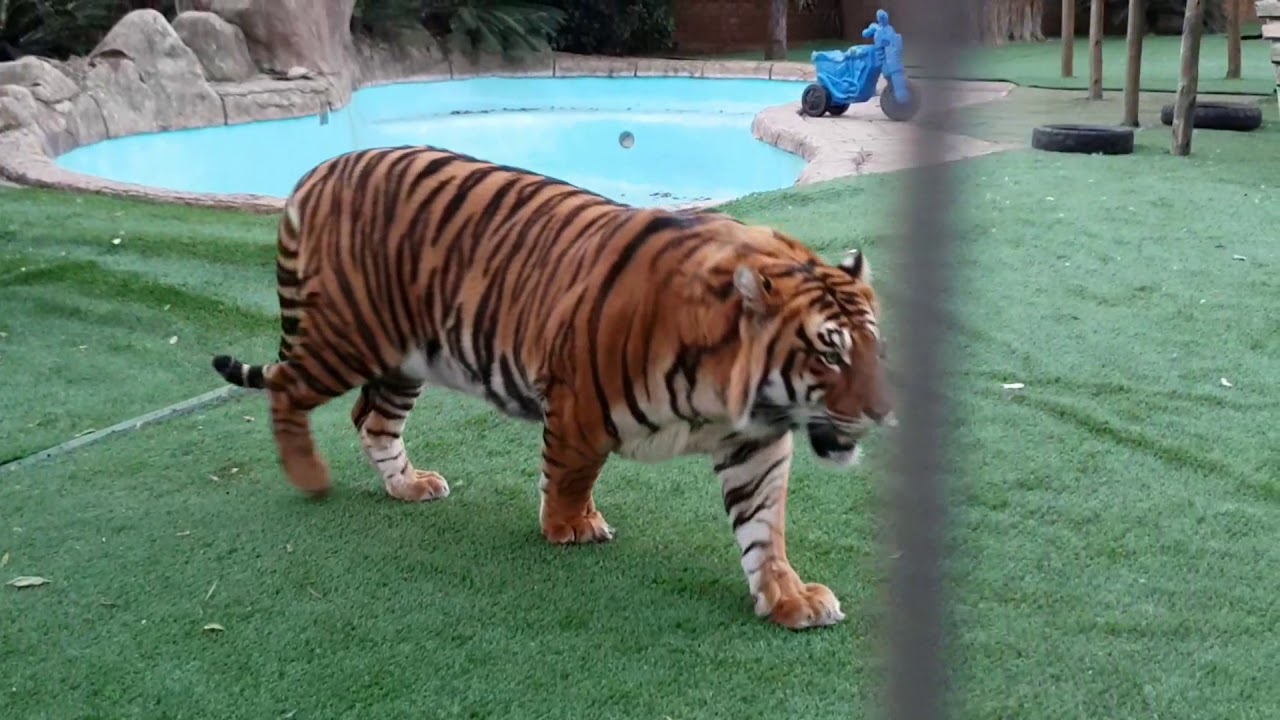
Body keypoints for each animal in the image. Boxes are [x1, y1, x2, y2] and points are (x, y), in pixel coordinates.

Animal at [211, 145, 895, 631]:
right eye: (829, 352)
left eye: (873, 348)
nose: (885, 413)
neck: (737, 394)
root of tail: (316, 172)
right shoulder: (580, 402)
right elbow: (571, 470)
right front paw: (569, 526)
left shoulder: (755, 444)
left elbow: (763, 527)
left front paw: (788, 597)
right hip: (343, 336)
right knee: (286, 389)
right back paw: (308, 476)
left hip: (404, 359)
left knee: (372, 421)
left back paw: (408, 485)